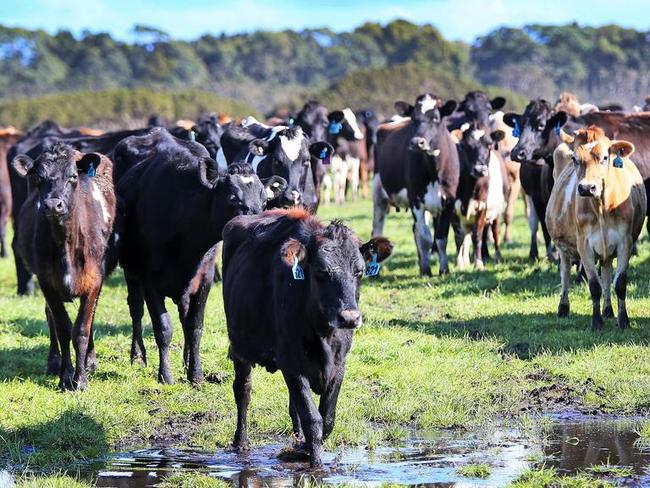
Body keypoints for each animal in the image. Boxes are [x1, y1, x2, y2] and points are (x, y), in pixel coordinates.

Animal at [112, 130, 284, 386]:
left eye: (264, 201)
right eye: (233, 198)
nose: (258, 224)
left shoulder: (205, 279)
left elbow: (194, 326)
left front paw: (196, 373)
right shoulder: (150, 280)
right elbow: (163, 328)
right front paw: (166, 375)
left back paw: (185, 360)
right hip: (131, 270)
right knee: (136, 308)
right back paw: (138, 356)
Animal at [223, 208, 392, 468]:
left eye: (360, 271)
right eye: (321, 271)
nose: (350, 318)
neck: (323, 332)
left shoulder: (340, 364)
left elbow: (327, 418)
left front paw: (300, 447)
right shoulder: (291, 363)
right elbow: (313, 419)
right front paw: (315, 464)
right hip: (240, 347)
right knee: (243, 390)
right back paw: (241, 442)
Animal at [372, 94, 458, 274]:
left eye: (435, 118)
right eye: (413, 119)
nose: (417, 142)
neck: (434, 170)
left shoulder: (449, 201)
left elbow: (441, 238)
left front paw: (444, 269)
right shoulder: (415, 200)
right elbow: (425, 237)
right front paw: (426, 270)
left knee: (415, 229)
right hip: (378, 193)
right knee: (377, 226)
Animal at [544, 127, 644, 332]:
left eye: (605, 157)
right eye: (575, 158)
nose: (586, 187)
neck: (602, 208)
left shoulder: (625, 242)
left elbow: (619, 283)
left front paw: (624, 320)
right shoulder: (584, 246)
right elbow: (594, 285)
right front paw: (596, 322)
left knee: (606, 273)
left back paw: (608, 309)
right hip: (563, 247)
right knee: (565, 271)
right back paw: (563, 307)